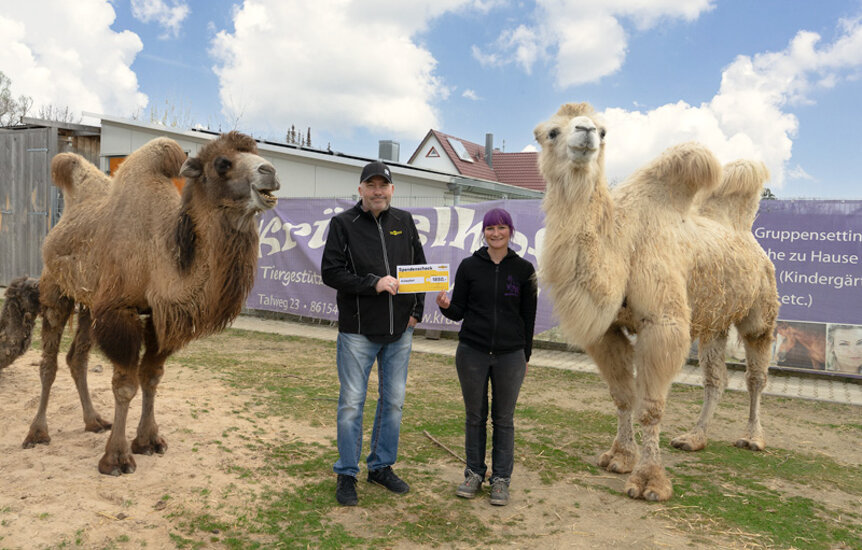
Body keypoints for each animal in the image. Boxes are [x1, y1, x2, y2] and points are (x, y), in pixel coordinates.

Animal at [0, 132, 280, 476]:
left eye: (257, 152)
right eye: (222, 163)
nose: (270, 172)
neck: (159, 257)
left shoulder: (160, 317)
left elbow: (151, 377)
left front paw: (148, 440)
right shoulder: (120, 312)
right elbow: (125, 385)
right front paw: (117, 458)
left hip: (89, 304)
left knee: (76, 358)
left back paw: (94, 421)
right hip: (56, 290)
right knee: (48, 363)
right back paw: (37, 433)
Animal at [536, 101, 780, 502]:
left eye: (603, 131)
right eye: (550, 132)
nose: (585, 133)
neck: (622, 244)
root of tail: (748, 238)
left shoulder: (663, 324)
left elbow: (650, 406)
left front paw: (650, 481)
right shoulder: (606, 331)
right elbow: (622, 396)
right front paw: (619, 457)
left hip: (760, 312)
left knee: (756, 376)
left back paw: (752, 438)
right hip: (714, 319)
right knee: (715, 378)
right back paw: (695, 438)